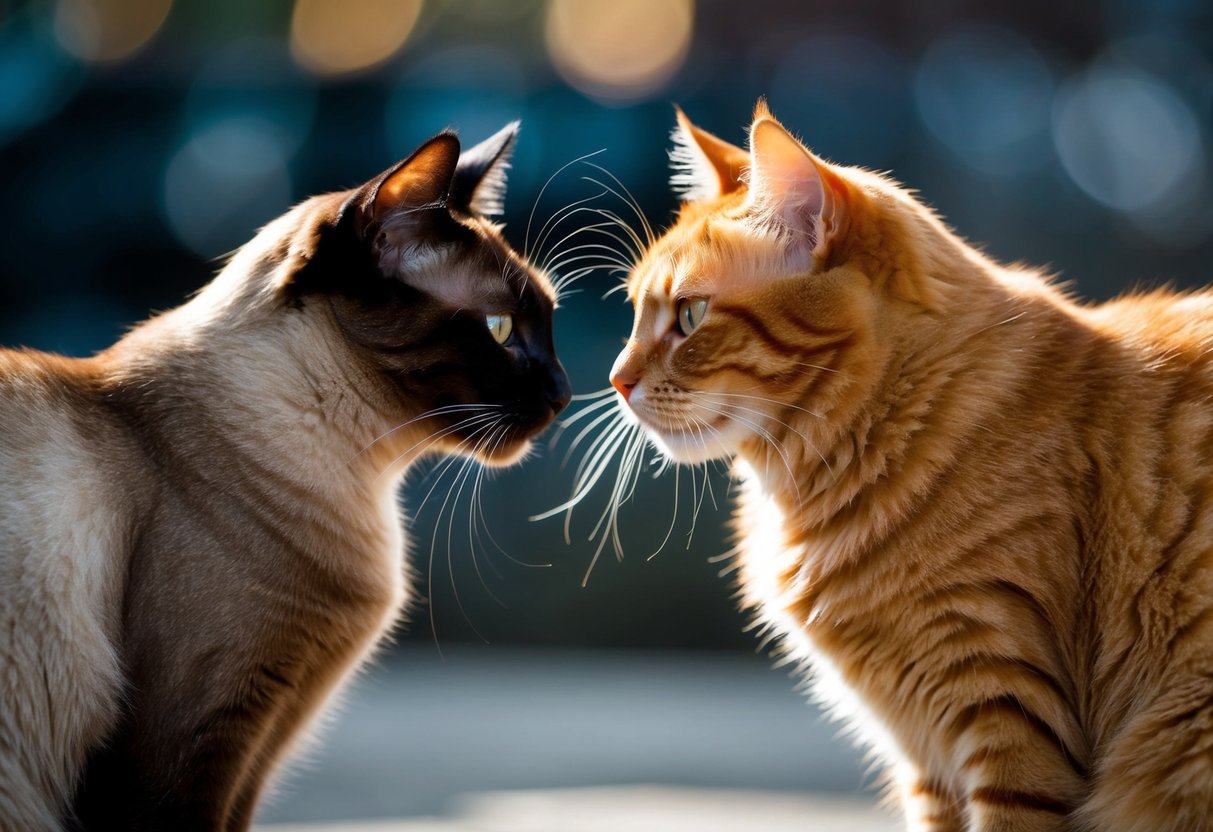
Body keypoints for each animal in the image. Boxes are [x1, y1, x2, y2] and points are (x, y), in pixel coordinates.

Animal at [0, 125, 570, 832]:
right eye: (500, 330)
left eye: (549, 323)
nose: (565, 392)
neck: (366, 486)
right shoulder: (194, 740)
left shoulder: (259, 749)